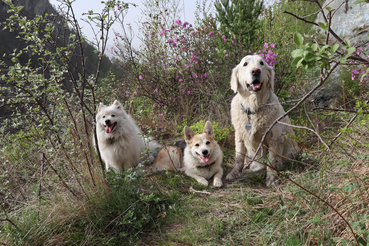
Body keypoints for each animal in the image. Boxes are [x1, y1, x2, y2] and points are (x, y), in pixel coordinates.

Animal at [224, 55, 300, 186]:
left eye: (261, 63)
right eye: (245, 64)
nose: (256, 71)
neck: (253, 108)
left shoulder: (274, 138)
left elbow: (272, 161)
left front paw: (272, 179)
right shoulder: (239, 135)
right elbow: (239, 157)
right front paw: (234, 173)